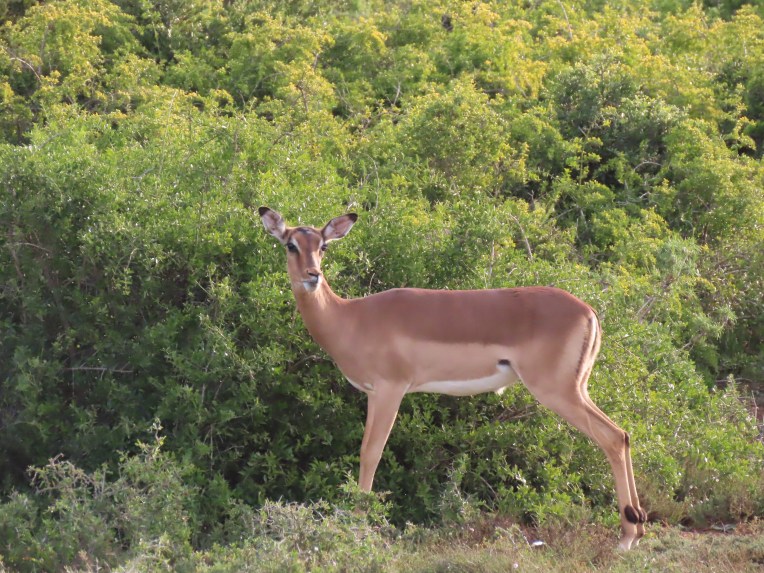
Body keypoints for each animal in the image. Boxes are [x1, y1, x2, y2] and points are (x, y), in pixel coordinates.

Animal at [259, 206, 647, 550]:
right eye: (291, 244)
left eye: (322, 245)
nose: (313, 275)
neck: (350, 317)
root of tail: (589, 311)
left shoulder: (389, 391)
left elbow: (371, 452)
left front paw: (356, 524)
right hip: (576, 388)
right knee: (624, 435)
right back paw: (637, 529)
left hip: (557, 391)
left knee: (613, 437)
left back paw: (627, 537)